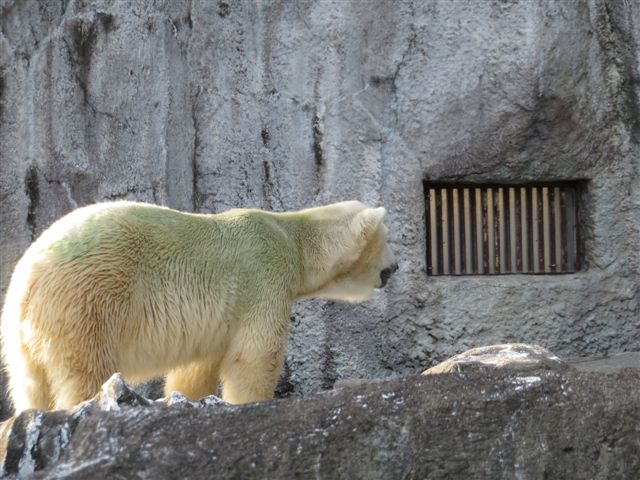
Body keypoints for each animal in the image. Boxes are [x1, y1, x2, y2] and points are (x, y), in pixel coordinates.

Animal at [1, 200, 397, 413]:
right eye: (388, 241)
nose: (394, 268)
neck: (293, 238)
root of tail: (29, 275)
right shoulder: (264, 278)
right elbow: (254, 357)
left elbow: (196, 369)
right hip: (91, 298)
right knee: (85, 371)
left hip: (24, 336)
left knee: (30, 386)